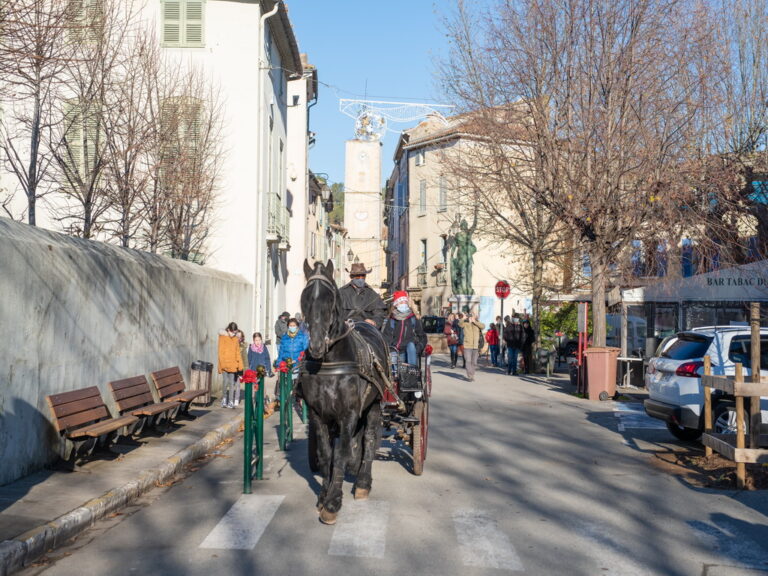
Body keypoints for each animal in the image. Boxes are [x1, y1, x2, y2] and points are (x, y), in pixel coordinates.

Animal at [298, 258, 388, 524]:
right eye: (305, 297)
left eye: (330, 299)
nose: (316, 344)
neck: (329, 362)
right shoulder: (318, 414)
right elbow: (326, 454)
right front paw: (323, 495)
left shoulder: (348, 414)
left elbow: (340, 453)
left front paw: (333, 502)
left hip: (375, 404)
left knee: (369, 439)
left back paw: (363, 482)